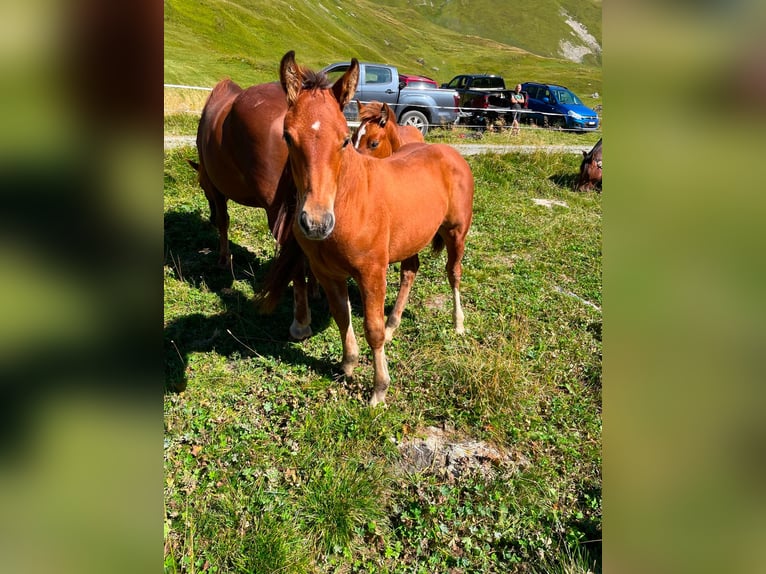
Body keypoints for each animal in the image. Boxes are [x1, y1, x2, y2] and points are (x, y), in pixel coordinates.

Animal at [191, 81, 316, 342]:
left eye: (202, 187)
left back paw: (300, 323)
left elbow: (224, 222)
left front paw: (223, 258)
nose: (208, 218)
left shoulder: (216, 190)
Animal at [264, 51, 480, 408]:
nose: (316, 223)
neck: (351, 202)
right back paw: (395, 324)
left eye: (342, 140)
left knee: (454, 273)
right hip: (411, 238)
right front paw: (348, 364)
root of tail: (450, 152)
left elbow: (372, 328)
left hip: (456, 232)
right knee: (410, 270)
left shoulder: (372, 272)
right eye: (287, 137)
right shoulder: (327, 273)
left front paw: (379, 388)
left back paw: (458, 322)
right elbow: (342, 316)